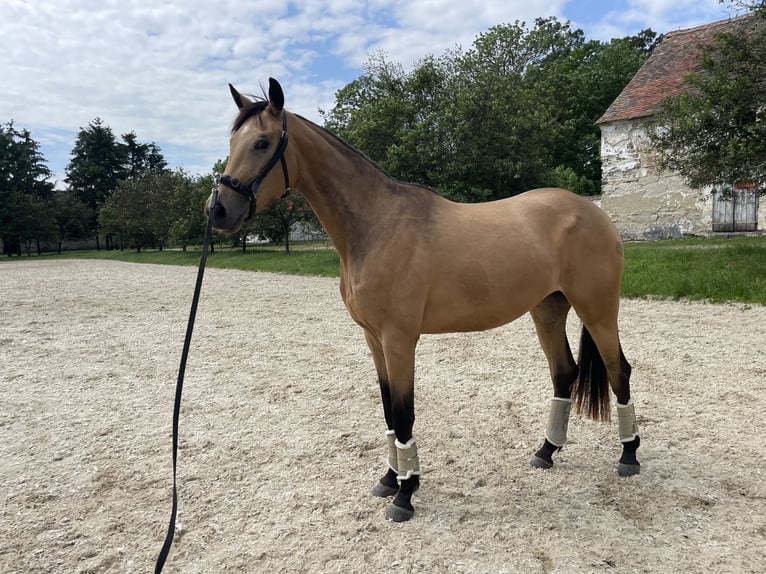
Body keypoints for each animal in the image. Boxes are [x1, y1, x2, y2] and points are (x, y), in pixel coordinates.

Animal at [206, 79, 640, 524]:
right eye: (233, 140)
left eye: (261, 142)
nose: (217, 210)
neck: (376, 226)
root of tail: (592, 212)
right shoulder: (374, 339)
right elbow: (387, 411)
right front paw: (388, 479)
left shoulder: (399, 339)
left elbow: (404, 413)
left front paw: (405, 494)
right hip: (547, 310)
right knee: (564, 372)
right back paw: (547, 451)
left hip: (598, 309)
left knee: (618, 370)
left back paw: (628, 456)